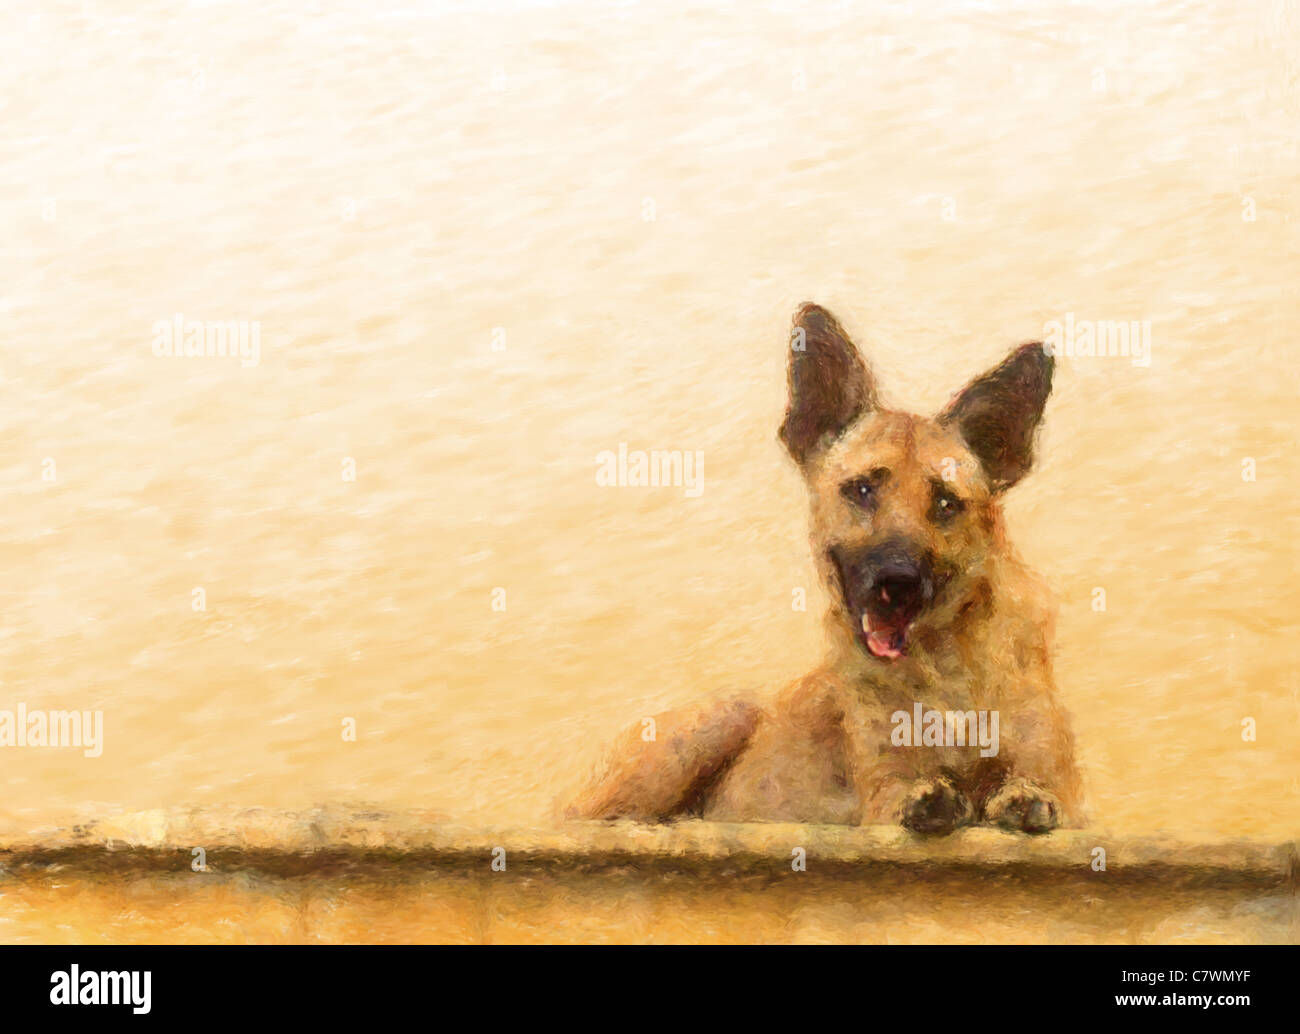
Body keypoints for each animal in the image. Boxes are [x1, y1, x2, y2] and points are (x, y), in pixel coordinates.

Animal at [564, 305, 1081, 832]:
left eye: (945, 503)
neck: (943, 663)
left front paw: (1021, 798)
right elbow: (903, 790)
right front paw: (931, 798)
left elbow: (1036, 786)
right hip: (710, 724)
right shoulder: (881, 798)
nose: (897, 583)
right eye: (861, 490)